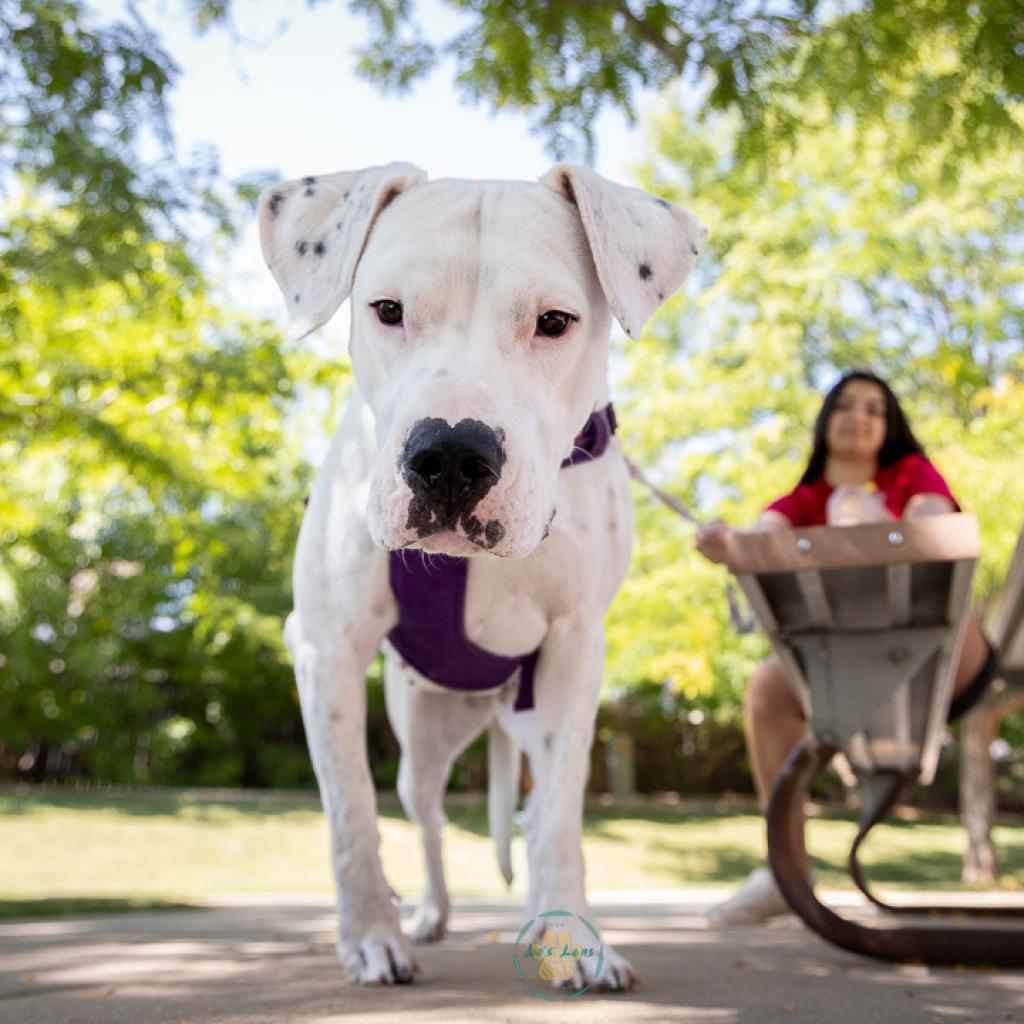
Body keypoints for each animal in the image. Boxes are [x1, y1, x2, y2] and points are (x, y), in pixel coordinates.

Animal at [260, 163, 704, 987]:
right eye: (388, 310)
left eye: (555, 321)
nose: (451, 456)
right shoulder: (326, 649)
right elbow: (351, 811)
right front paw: (371, 936)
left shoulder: (573, 655)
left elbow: (558, 820)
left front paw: (576, 937)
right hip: (423, 740)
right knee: (429, 822)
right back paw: (429, 916)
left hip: (527, 717)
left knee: (529, 813)